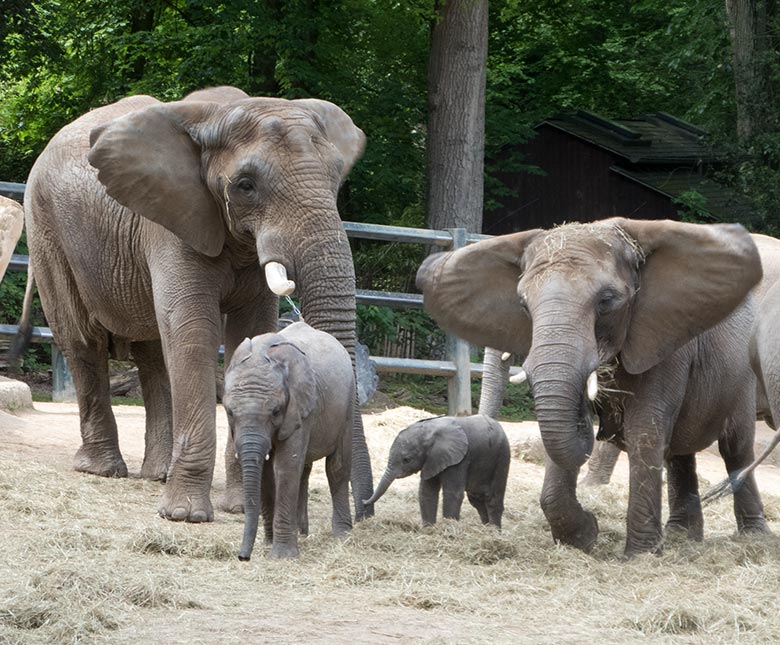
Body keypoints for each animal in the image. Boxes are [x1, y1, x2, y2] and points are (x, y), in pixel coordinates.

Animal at [24, 85, 374, 520]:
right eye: (245, 185)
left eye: (335, 179)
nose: (364, 512)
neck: (219, 115)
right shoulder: (172, 221)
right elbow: (193, 334)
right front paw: (185, 516)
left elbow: (250, 332)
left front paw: (240, 508)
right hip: (46, 229)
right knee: (82, 340)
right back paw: (102, 470)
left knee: (152, 352)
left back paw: (156, 474)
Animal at [221, 322, 352, 560]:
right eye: (229, 412)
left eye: (275, 411)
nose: (243, 557)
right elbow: (266, 472)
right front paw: (268, 544)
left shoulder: (300, 408)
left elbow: (285, 467)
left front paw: (282, 556)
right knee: (305, 470)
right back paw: (301, 533)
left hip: (348, 402)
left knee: (337, 466)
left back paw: (342, 536)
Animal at [366, 416, 512, 524]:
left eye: (406, 460)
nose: (363, 502)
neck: (431, 431)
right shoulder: (432, 460)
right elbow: (427, 492)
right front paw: (429, 530)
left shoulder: (460, 459)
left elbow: (452, 494)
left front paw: (448, 530)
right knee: (476, 500)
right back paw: (485, 529)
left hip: (503, 456)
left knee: (492, 499)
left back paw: (494, 532)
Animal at [418, 218, 772, 552]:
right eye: (523, 305)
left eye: (606, 301)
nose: (596, 420)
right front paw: (585, 536)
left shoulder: (664, 341)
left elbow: (645, 429)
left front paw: (640, 555)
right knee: (679, 454)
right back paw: (682, 538)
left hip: (743, 376)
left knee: (736, 448)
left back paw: (752, 538)